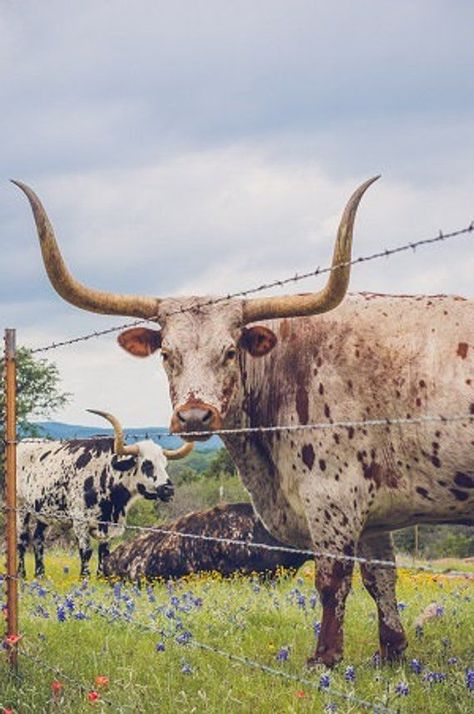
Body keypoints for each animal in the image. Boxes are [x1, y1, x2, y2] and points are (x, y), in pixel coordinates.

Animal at [17, 408, 193, 576]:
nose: (168, 489)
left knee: (38, 540)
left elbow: (104, 553)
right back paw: (22, 575)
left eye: (165, 464)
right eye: (147, 464)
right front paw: (84, 579)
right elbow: (86, 553)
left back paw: (40, 575)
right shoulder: (80, 522)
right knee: (22, 541)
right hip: (21, 509)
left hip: (43, 511)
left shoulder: (107, 528)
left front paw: (102, 577)